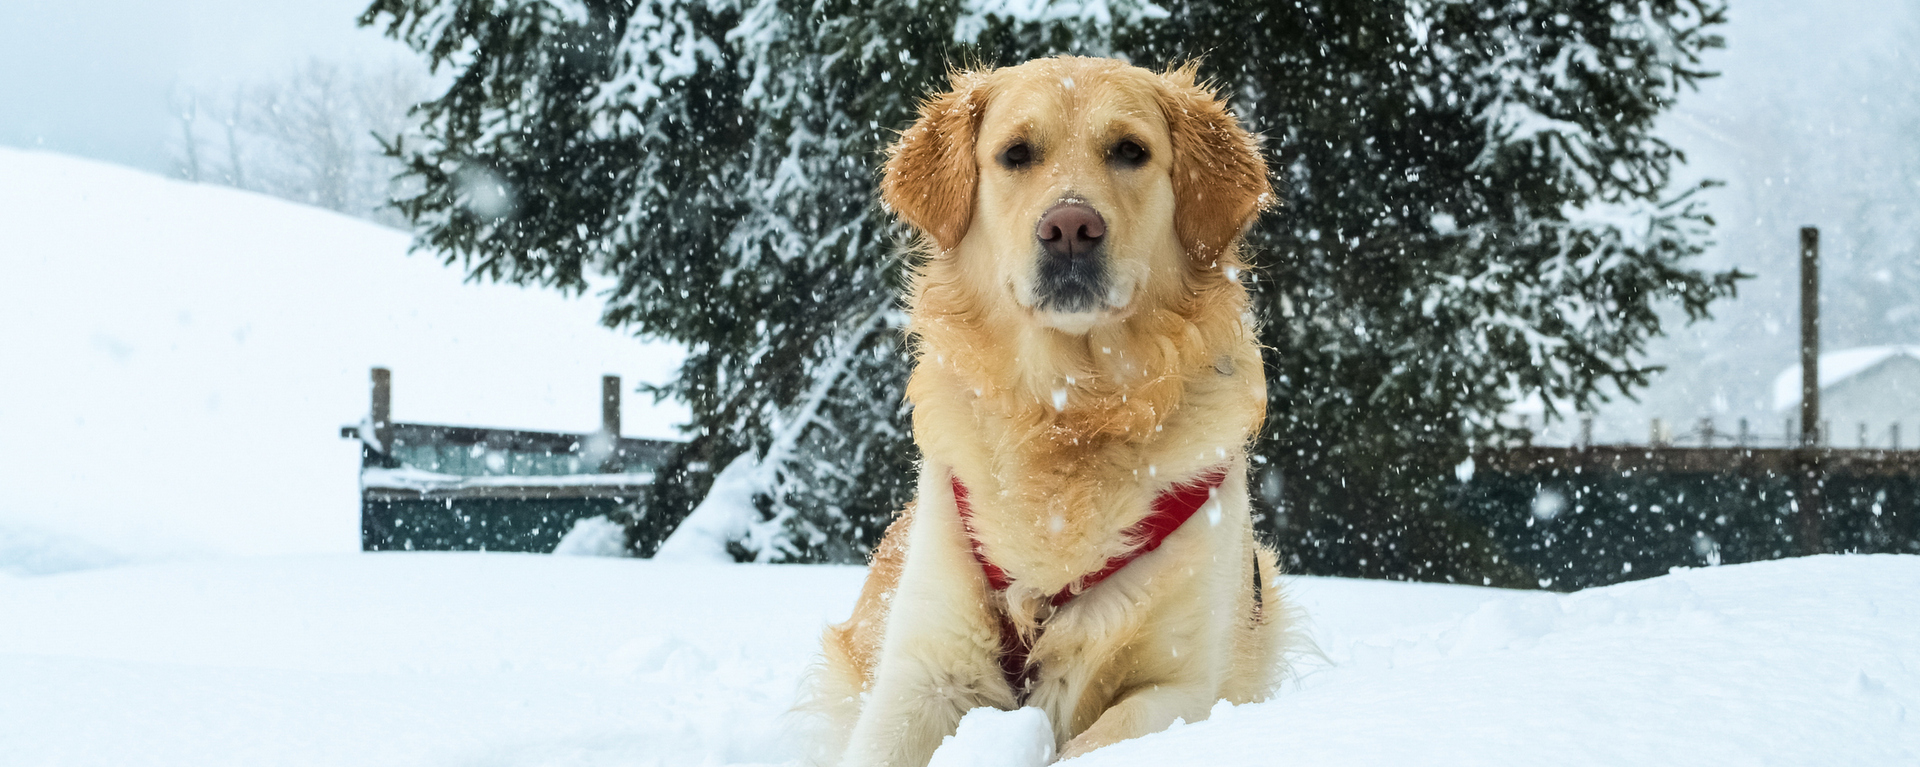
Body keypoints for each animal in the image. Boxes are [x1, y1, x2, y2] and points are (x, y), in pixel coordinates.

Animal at [806, 57, 1290, 765]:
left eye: (1130, 151)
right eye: (1016, 154)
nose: (1069, 229)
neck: (1070, 412)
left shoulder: (1183, 685)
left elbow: (1095, 741)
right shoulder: (922, 674)